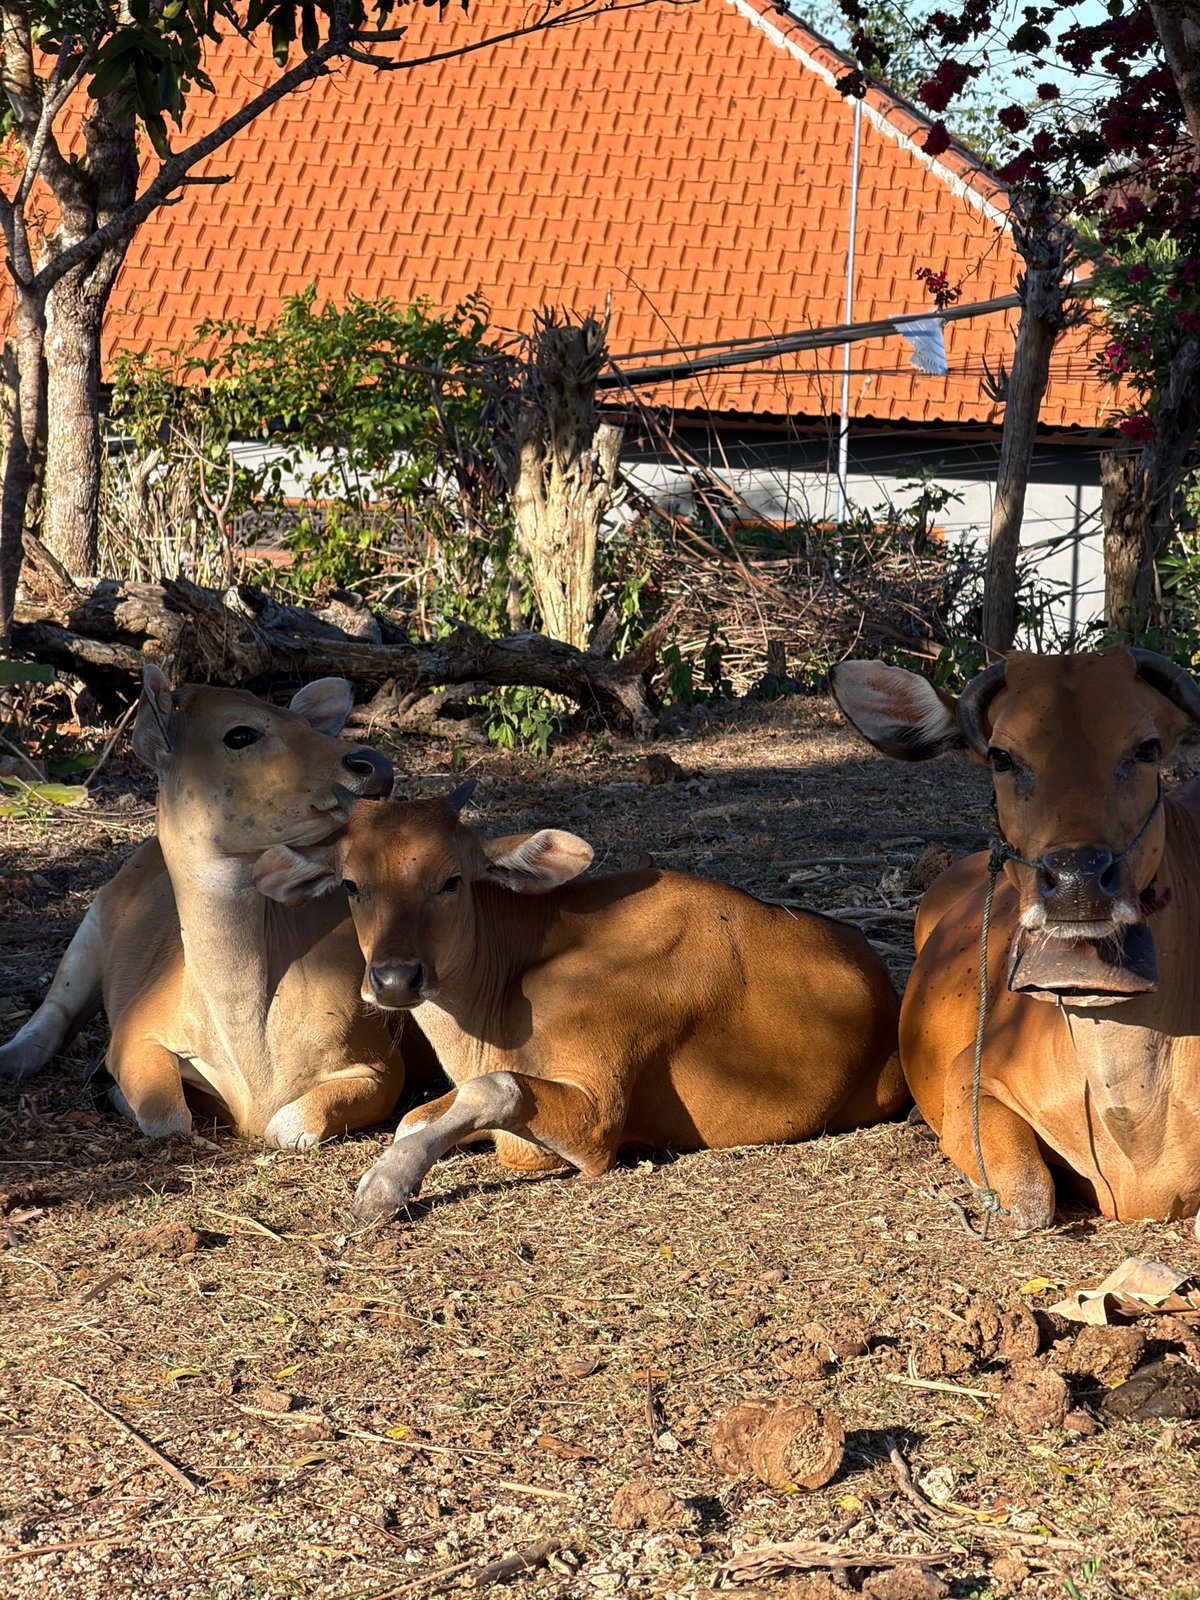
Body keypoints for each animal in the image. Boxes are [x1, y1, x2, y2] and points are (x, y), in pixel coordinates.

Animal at [0, 666, 415, 1147]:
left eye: (308, 725)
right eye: (239, 734)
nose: (373, 764)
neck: (255, 1063)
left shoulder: (382, 1061)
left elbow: (287, 1126)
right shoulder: (136, 1032)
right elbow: (167, 1117)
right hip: (94, 920)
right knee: (54, 1010)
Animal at [252, 784, 908, 1220]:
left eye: (452, 880)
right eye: (351, 885)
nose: (393, 980)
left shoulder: (597, 1123)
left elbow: (495, 1089)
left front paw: (387, 1182)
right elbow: (417, 1117)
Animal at [831, 646, 1200, 1237]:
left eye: (1146, 748)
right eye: (1002, 757)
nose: (1076, 879)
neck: (1136, 1117)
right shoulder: (971, 1078)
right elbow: (1029, 1196)